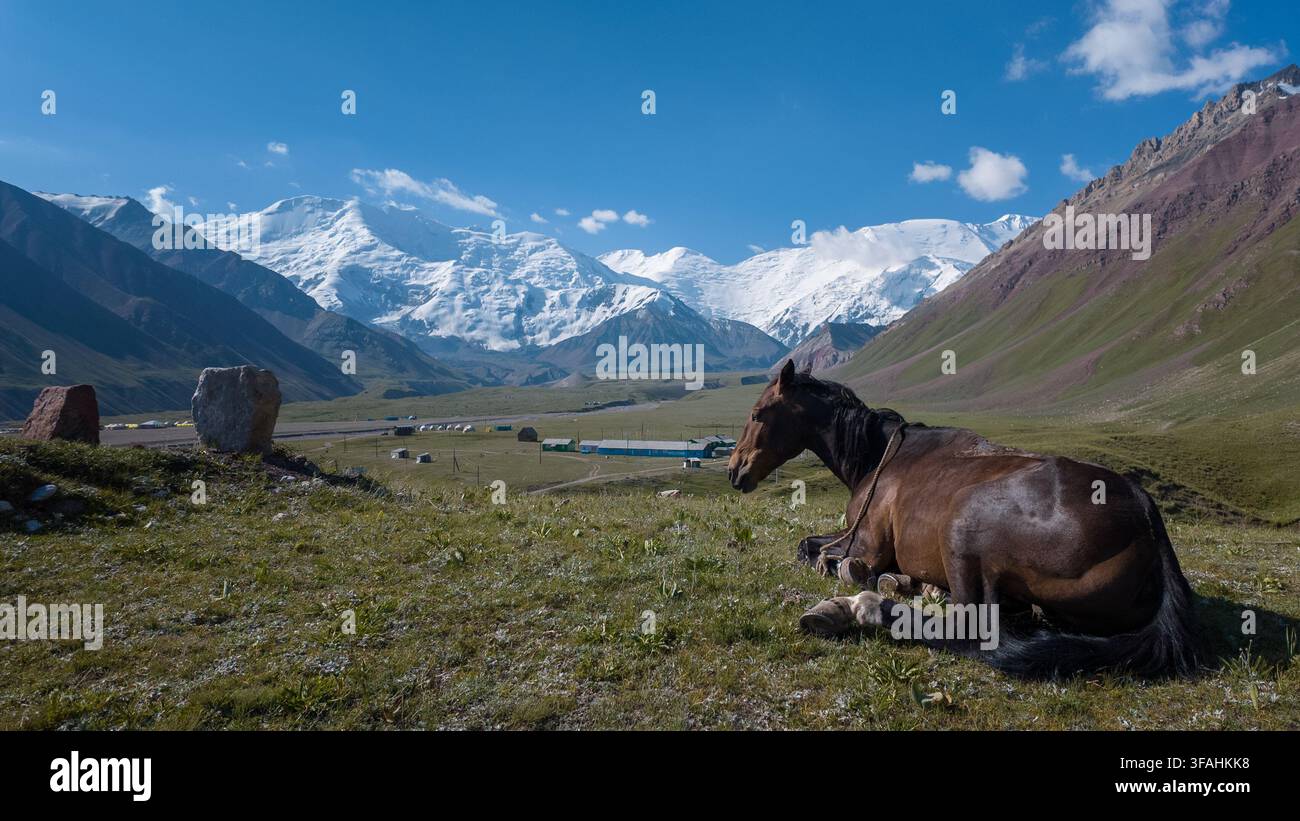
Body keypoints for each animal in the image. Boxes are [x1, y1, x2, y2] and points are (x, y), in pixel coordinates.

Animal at [726, 360, 1204, 679]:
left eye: (756, 414)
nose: (734, 471)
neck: (876, 457)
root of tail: (1145, 514)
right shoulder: (849, 535)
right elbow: (810, 544)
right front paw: (902, 580)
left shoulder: (864, 542)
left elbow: (816, 551)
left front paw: (854, 575)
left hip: (963, 530)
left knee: (971, 627)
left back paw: (864, 607)